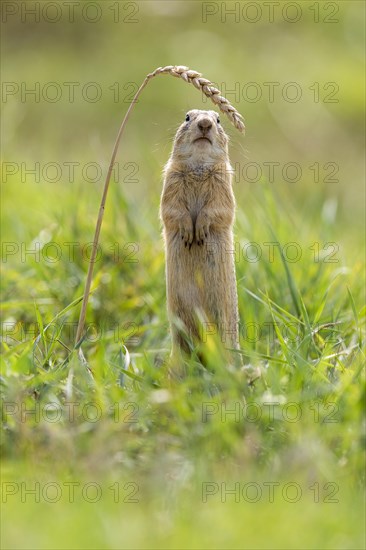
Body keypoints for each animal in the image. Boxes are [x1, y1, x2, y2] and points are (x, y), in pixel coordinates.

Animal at [161, 109, 242, 370]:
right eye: (187, 117)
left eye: (218, 119)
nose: (205, 124)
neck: (198, 167)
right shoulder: (171, 180)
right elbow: (172, 209)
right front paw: (189, 232)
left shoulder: (223, 184)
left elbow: (219, 209)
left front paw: (201, 231)